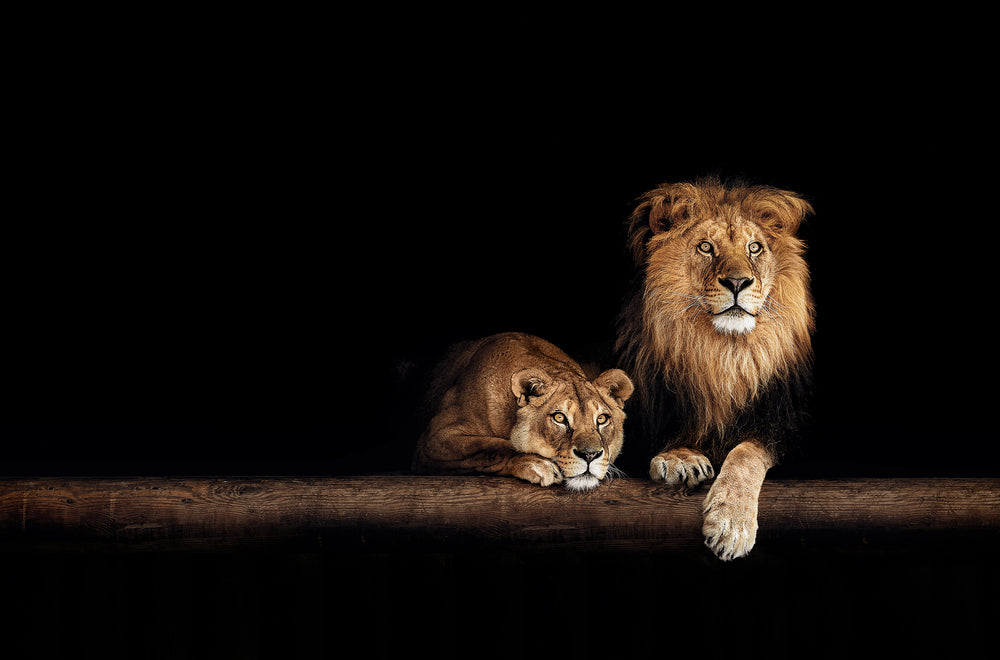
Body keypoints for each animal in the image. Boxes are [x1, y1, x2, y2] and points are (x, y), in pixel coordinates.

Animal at [412, 332, 632, 492]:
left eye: (602, 419)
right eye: (559, 418)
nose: (590, 455)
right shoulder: (433, 438)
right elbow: (491, 447)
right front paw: (537, 463)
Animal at [612, 178, 816, 560]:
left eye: (755, 248)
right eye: (706, 247)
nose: (737, 282)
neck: (723, 354)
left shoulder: (785, 426)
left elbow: (746, 453)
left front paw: (731, 524)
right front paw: (680, 458)